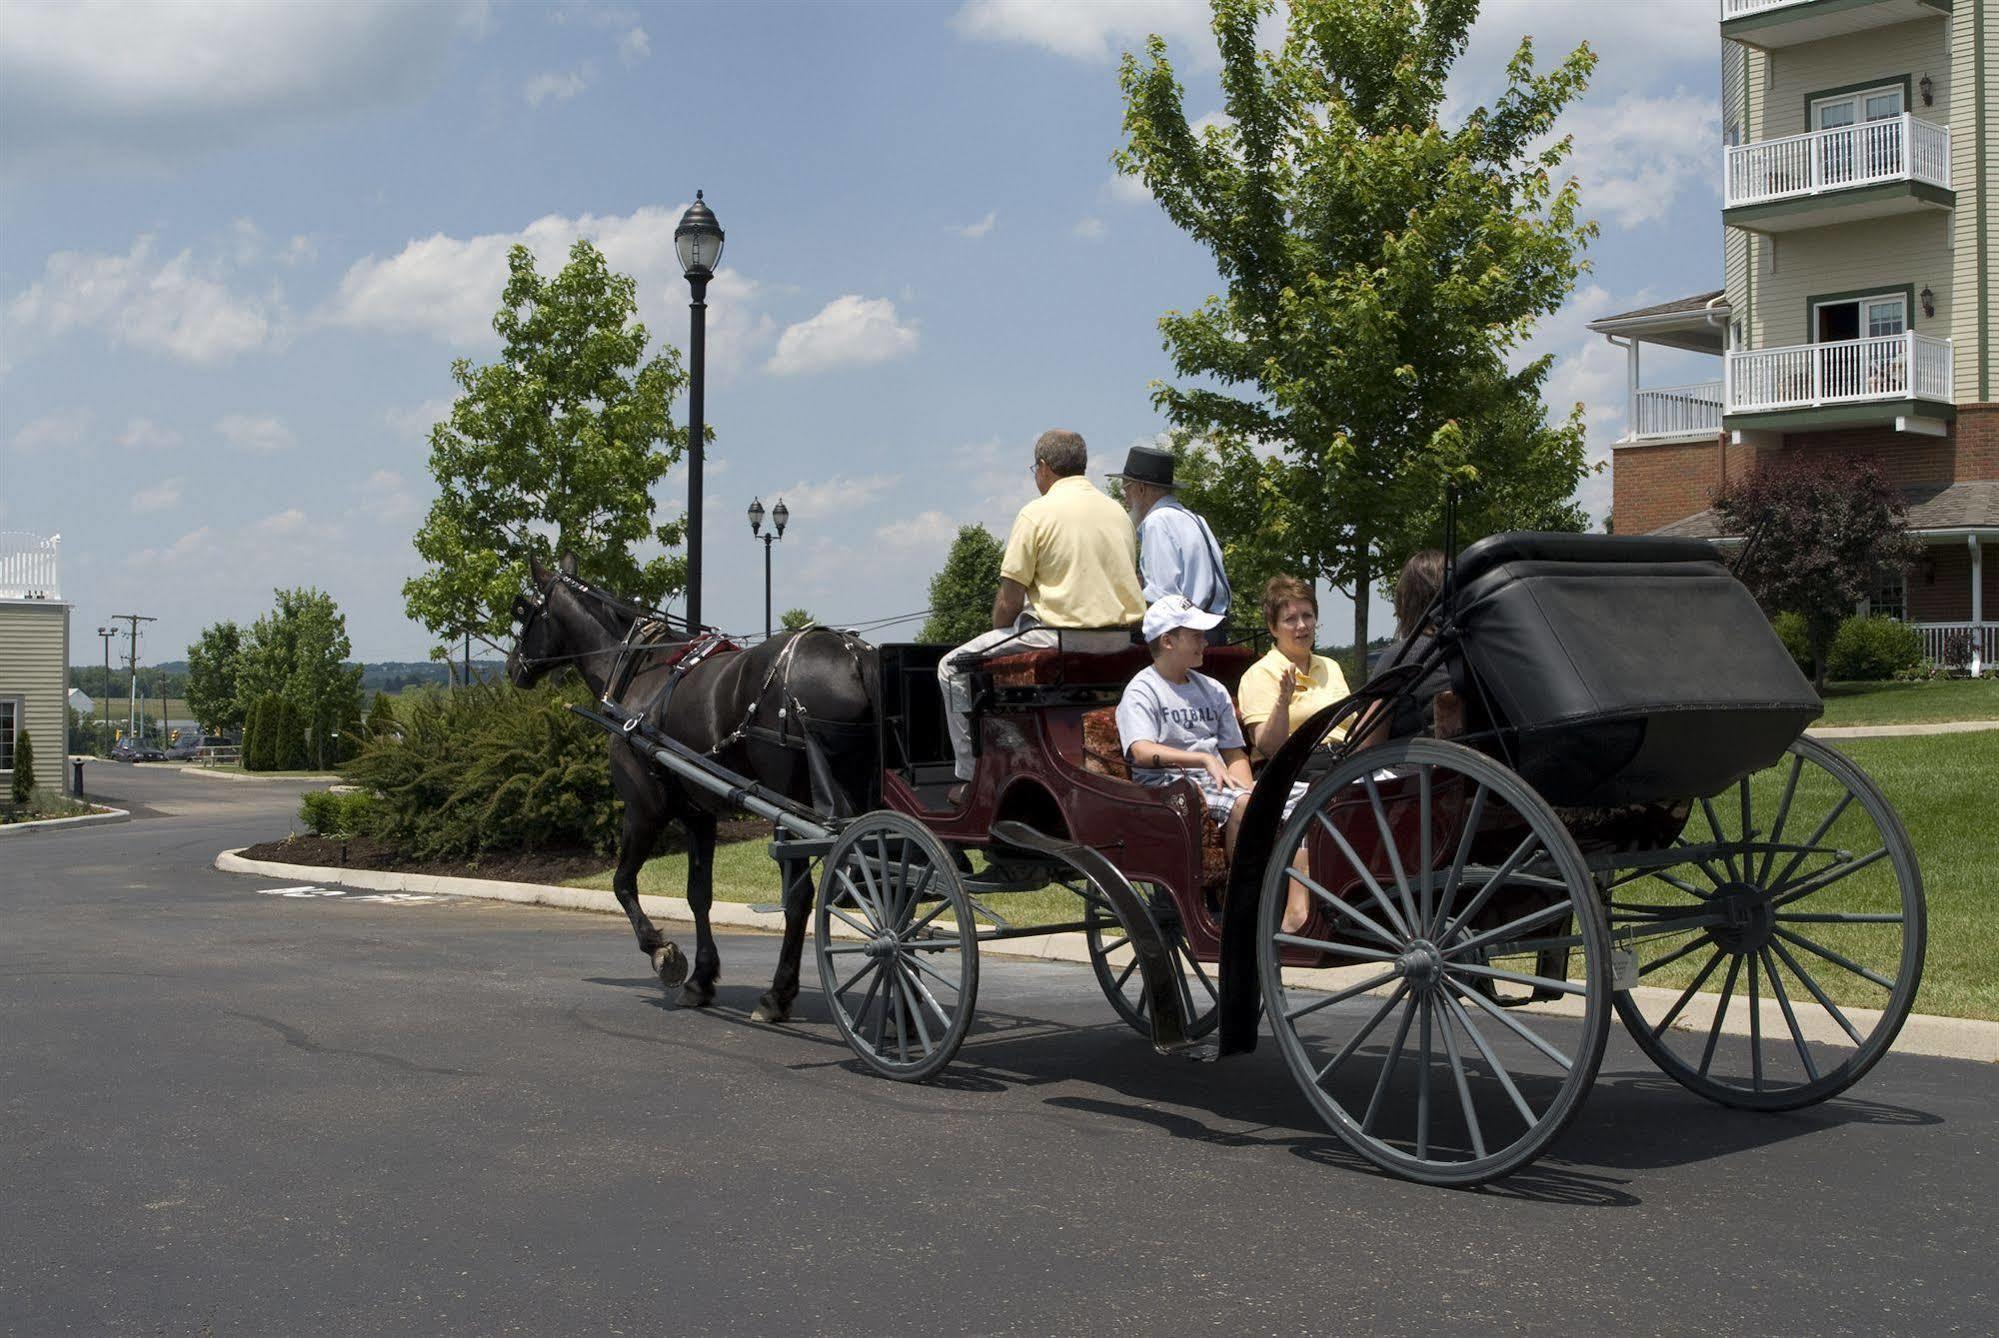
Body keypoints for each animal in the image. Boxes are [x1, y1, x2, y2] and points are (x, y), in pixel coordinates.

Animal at [503, 548, 871, 1016]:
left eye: (526, 611)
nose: (513, 667)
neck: (638, 670)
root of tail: (854, 656)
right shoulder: (699, 814)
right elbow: (698, 894)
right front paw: (701, 977)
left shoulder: (645, 808)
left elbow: (622, 882)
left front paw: (663, 953)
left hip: (792, 806)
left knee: (802, 896)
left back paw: (777, 994)